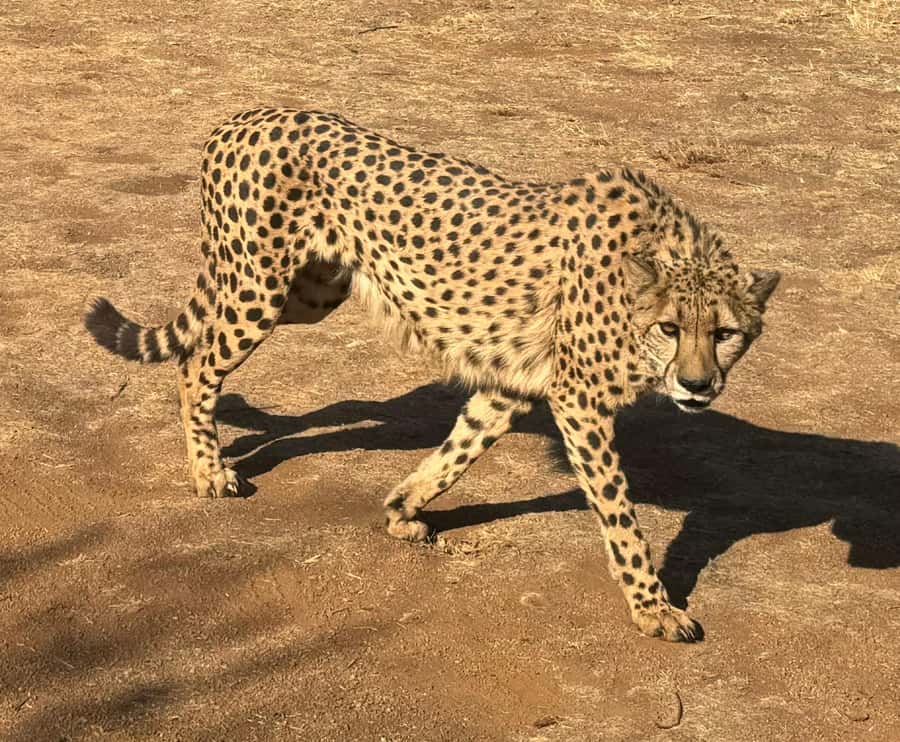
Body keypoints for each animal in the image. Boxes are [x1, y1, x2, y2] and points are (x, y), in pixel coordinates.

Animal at [85, 108, 780, 642]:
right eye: (670, 328)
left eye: (725, 334)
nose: (697, 386)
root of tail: (244, 117)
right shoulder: (579, 400)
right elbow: (619, 514)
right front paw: (654, 608)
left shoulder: (512, 384)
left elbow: (459, 450)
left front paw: (403, 508)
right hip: (259, 289)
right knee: (196, 361)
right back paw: (209, 470)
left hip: (309, 293)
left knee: (226, 359)